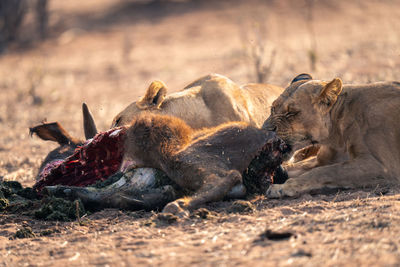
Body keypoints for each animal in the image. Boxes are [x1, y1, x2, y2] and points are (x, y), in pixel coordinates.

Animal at [262, 73, 400, 199]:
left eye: (291, 113)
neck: (337, 137)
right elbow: (297, 167)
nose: (265, 129)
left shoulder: (383, 166)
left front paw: (283, 187)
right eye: (272, 109)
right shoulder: (321, 160)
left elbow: (326, 171)